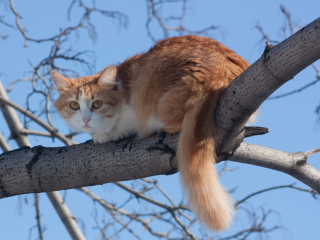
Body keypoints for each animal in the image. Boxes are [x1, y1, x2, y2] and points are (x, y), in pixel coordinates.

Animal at [52, 34, 252, 232]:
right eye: (74, 105)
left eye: (97, 104)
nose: (85, 119)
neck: (121, 88)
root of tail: (216, 69)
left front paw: (104, 134)